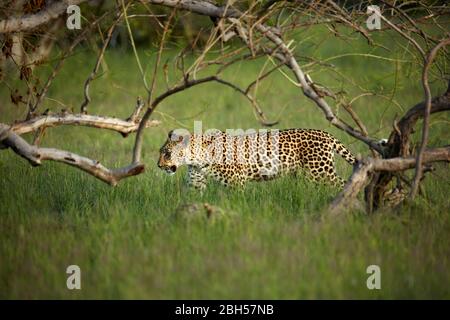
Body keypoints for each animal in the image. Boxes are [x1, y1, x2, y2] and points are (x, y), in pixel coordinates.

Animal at [156, 128, 356, 190]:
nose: (158, 166)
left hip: (320, 172)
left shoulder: (237, 183)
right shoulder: (195, 184)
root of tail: (326, 133)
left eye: (167, 153)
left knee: (343, 183)